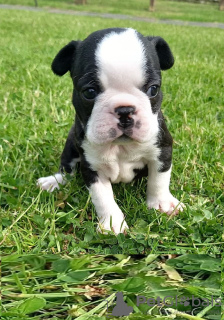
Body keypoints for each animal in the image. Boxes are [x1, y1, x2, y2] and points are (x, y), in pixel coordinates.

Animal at [37, 27, 184, 235]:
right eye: (89, 92)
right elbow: (103, 197)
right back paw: (54, 181)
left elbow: (159, 179)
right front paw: (112, 223)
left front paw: (162, 204)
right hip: (70, 144)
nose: (124, 110)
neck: (120, 146)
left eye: (153, 89)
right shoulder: (91, 166)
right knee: (67, 169)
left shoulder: (162, 149)